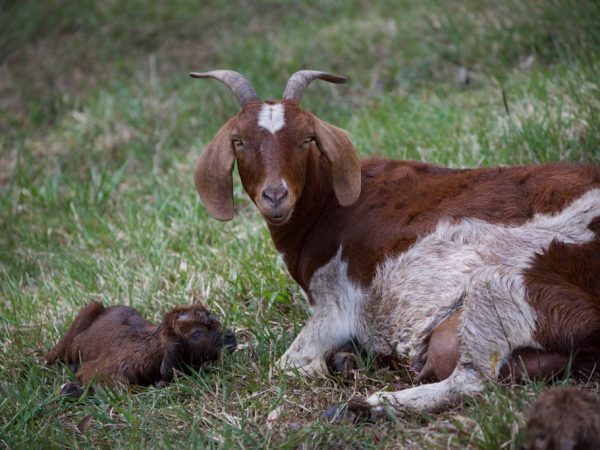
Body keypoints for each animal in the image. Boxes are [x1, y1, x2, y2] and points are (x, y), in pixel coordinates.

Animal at [191, 69, 600, 414]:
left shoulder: (335, 304)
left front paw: (326, 366)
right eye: (238, 141)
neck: (328, 204)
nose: (276, 195)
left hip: (506, 283)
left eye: (307, 138)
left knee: (473, 380)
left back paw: (373, 404)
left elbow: (285, 365)